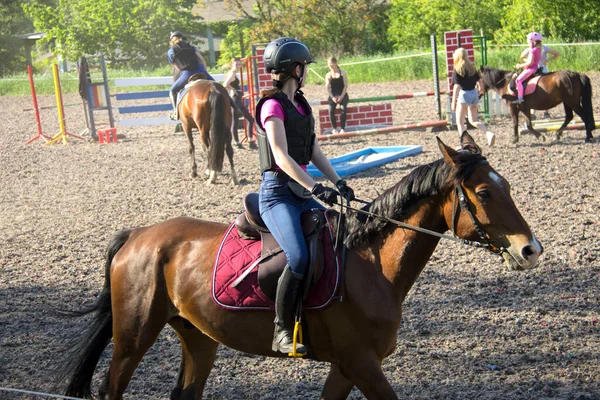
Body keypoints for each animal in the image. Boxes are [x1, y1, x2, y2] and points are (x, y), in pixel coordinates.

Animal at [57, 133, 544, 398]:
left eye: (505, 185)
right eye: (484, 193)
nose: (531, 250)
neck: (371, 265)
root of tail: (138, 235)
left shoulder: (347, 367)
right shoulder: (361, 363)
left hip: (198, 336)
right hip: (132, 339)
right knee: (112, 389)